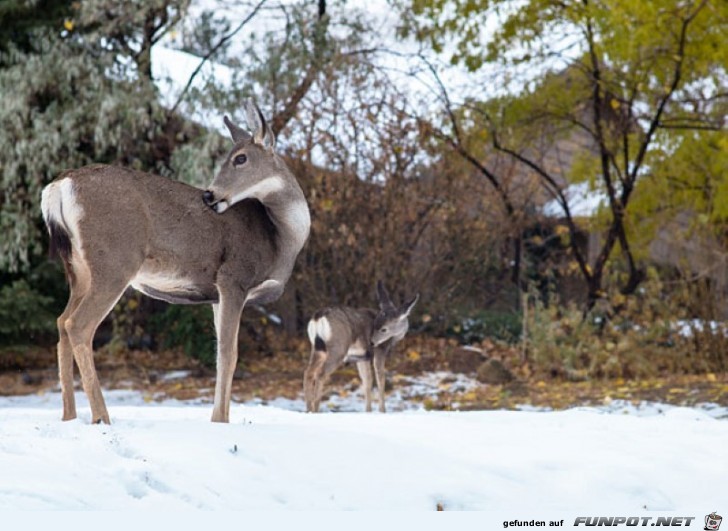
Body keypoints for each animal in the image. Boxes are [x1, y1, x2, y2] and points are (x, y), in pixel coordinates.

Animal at [40, 100, 310, 424]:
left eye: (241, 158)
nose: (209, 195)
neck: (280, 238)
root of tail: (59, 185)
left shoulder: (217, 295)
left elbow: (220, 355)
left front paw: (217, 418)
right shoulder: (233, 278)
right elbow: (229, 355)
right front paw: (221, 421)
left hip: (78, 268)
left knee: (60, 321)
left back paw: (69, 416)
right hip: (115, 259)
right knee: (78, 324)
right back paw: (101, 417)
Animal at [302, 284, 418, 414]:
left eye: (383, 329)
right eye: (377, 326)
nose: (371, 342)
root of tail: (318, 317)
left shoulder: (362, 357)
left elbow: (367, 381)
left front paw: (368, 411)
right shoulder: (379, 351)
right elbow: (380, 379)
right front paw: (382, 410)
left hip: (318, 348)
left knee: (308, 372)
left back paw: (308, 410)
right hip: (338, 348)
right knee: (320, 373)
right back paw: (316, 410)